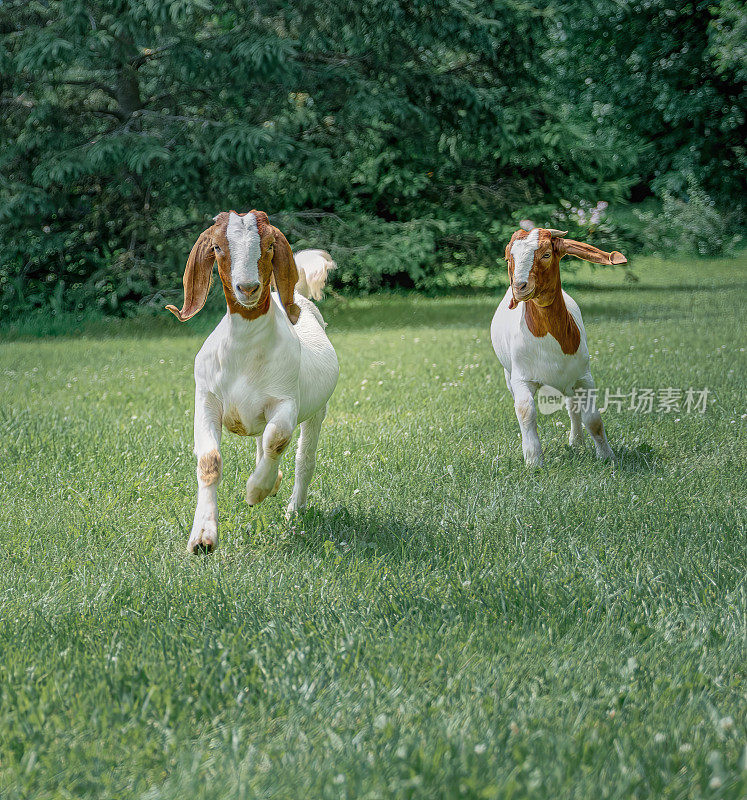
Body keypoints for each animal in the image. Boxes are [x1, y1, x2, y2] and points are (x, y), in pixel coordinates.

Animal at [167, 209, 338, 552]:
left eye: (270, 245)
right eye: (217, 247)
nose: (247, 288)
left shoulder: (286, 402)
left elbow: (278, 439)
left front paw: (256, 490)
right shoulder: (206, 399)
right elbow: (210, 460)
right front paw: (202, 538)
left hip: (317, 411)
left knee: (303, 460)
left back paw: (292, 508)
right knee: (261, 441)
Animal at [494, 228, 628, 466]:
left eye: (546, 254)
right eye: (510, 258)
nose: (519, 287)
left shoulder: (584, 377)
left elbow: (593, 419)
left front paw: (606, 456)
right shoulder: (521, 378)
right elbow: (525, 412)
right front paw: (533, 460)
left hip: (569, 381)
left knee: (572, 406)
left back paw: (576, 442)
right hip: (508, 374)